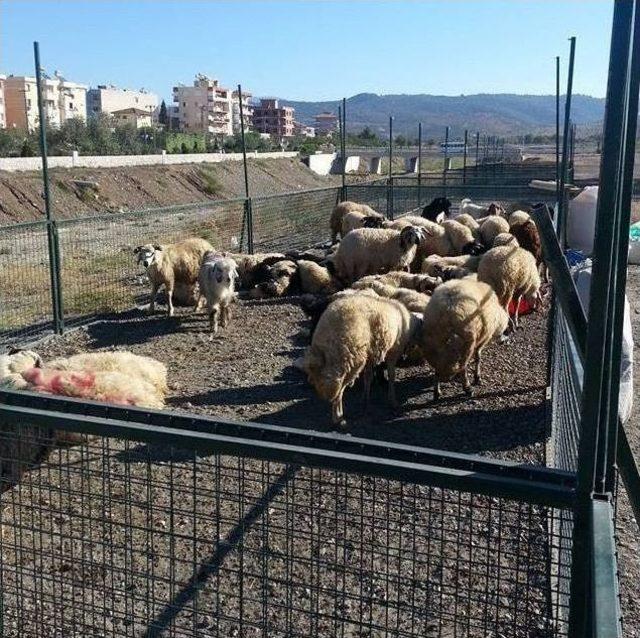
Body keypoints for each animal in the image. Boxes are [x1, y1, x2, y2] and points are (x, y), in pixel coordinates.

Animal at [304, 292, 422, 428]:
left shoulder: (370, 355)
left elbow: (368, 377)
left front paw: (365, 399)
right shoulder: (393, 350)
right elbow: (392, 375)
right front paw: (392, 400)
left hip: (329, 362)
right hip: (350, 360)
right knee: (339, 390)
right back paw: (338, 418)